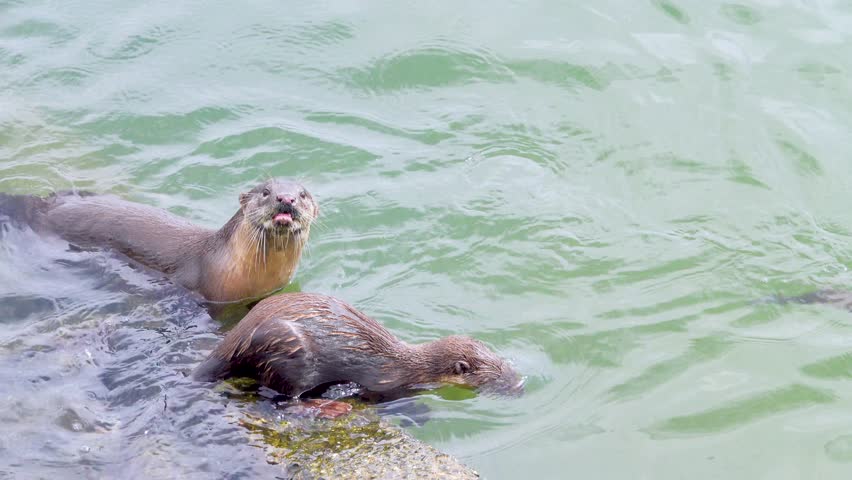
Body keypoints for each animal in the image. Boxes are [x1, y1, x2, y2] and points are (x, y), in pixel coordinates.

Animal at [193, 293, 523, 397]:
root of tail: (238, 336)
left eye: (501, 361)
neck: (409, 368)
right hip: (288, 351)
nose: (520, 383)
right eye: (492, 374)